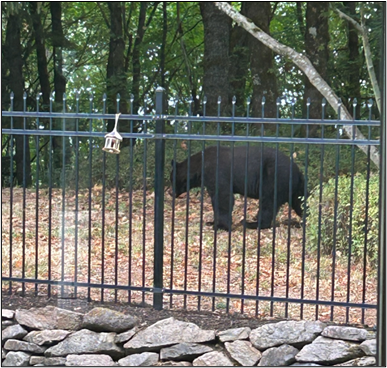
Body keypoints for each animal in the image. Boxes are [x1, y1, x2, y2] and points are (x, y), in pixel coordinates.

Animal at [170, 145, 306, 231]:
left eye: (173, 180)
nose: (170, 192)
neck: (200, 167)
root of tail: (298, 171)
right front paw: (211, 222)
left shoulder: (217, 173)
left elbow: (223, 198)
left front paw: (220, 226)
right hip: (295, 189)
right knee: (300, 203)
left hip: (274, 179)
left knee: (268, 203)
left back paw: (251, 223)